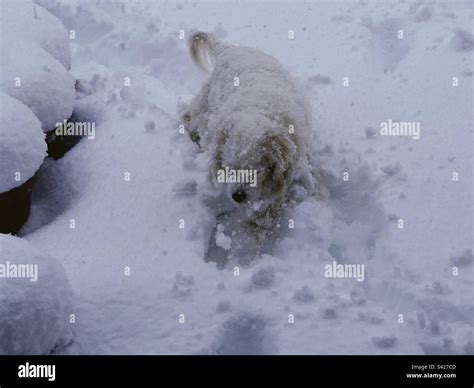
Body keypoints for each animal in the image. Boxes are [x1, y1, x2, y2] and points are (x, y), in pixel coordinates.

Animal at [180, 31, 324, 266]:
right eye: (228, 168)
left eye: (256, 170)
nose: (237, 196)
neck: (258, 110)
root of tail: (229, 49)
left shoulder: (300, 166)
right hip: (205, 108)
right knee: (187, 116)